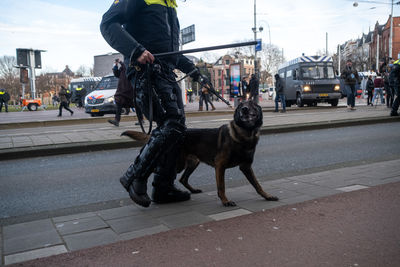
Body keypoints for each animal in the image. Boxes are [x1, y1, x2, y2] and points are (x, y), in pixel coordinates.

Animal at [122, 100, 278, 207]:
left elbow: (257, 185)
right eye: (240, 106)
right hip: (178, 164)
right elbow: (221, 187)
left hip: (192, 163)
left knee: (182, 179)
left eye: (252, 104)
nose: (244, 109)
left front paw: (267, 196)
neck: (245, 135)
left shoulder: (246, 167)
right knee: (157, 169)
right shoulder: (220, 166)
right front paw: (225, 201)